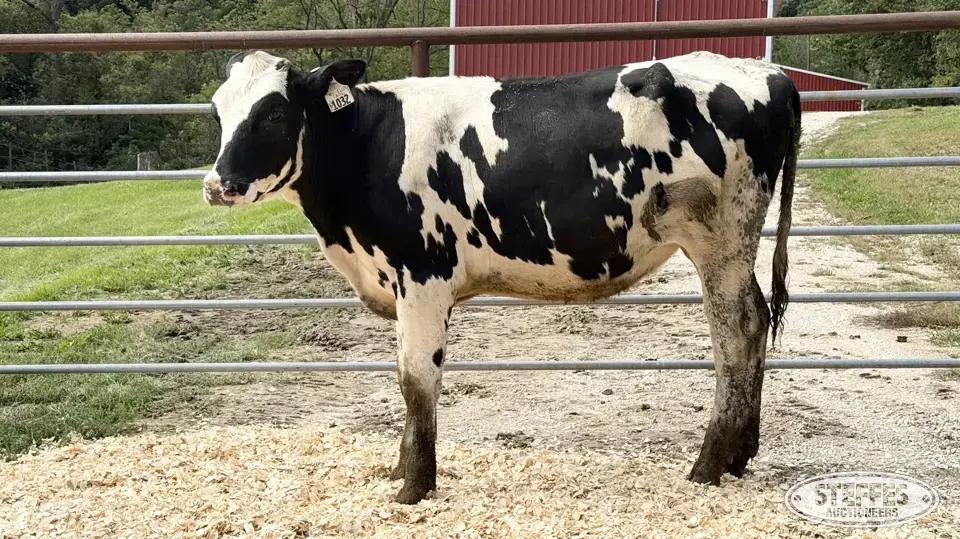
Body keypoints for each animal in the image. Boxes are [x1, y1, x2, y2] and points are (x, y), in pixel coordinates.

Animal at [202, 49, 801, 504]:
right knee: (754, 325)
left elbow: (415, 381)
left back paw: (709, 465)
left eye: (273, 115)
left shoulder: (423, 276)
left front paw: (413, 488)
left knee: (736, 334)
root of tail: (766, 72)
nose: (217, 185)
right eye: (218, 112)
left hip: (720, 242)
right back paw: (739, 457)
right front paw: (400, 470)